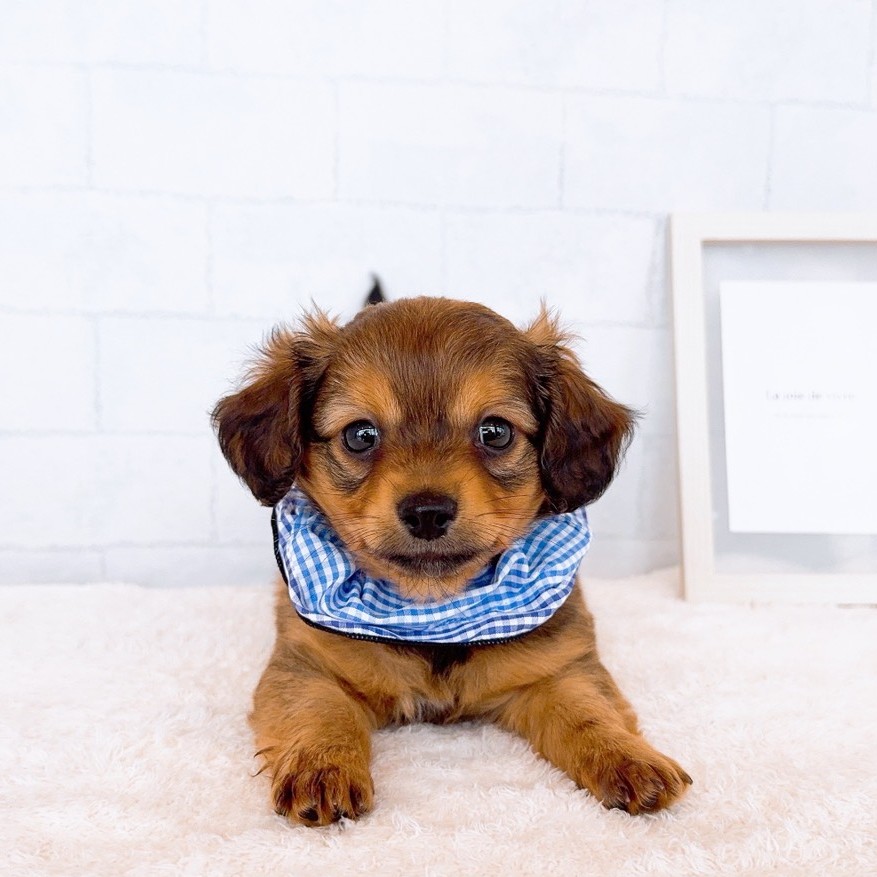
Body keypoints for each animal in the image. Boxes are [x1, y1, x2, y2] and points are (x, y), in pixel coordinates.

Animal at [212, 285, 691, 826]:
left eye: (495, 432)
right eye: (360, 435)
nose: (427, 512)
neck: (434, 611)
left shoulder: (559, 668)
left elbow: (590, 711)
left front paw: (629, 758)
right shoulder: (304, 664)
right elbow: (319, 709)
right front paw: (322, 767)